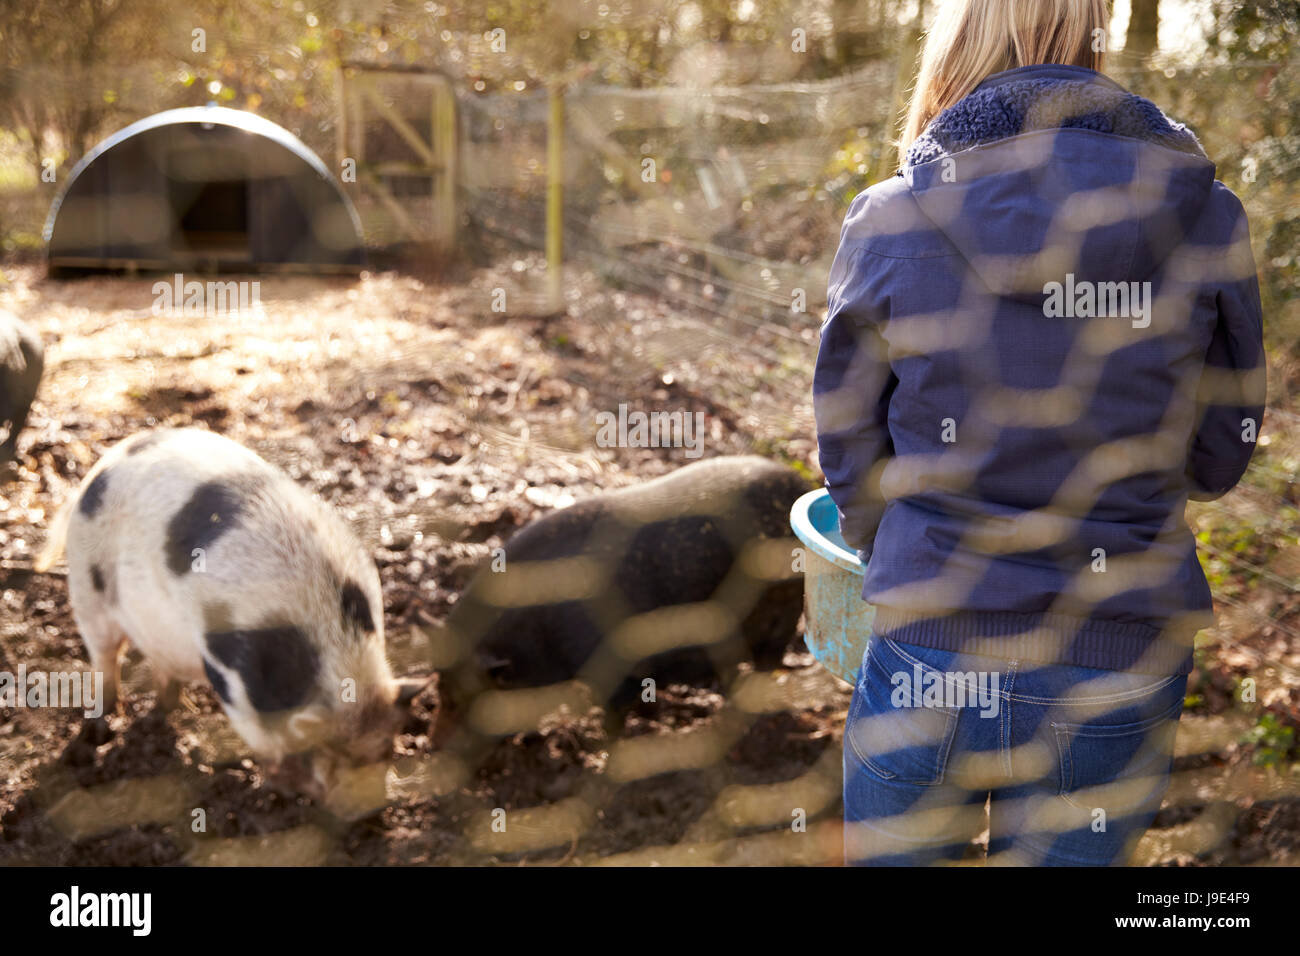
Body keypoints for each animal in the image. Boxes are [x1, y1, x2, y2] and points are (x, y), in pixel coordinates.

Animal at [39, 429, 421, 790]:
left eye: (387, 750)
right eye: (332, 754)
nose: (369, 809)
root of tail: (102, 465)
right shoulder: (229, 671)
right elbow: (260, 733)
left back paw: (172, 709)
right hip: (87, 586)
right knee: (104, 657)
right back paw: (97, 731)